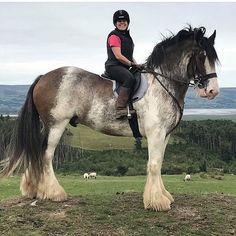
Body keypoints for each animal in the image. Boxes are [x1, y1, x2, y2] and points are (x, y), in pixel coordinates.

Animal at [0, 26, 220, 212]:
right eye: (202, 55)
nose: (212, 91)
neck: (162, 84)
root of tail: (43, 77)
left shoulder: (164, 135)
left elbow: (158, 163)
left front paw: (163, 196)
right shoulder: (155, 133)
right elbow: (154, 164)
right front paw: (157, 202)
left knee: (36, 153)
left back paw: (34, 190)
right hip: (56, 125)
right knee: (46, 156)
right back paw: (55, 193)